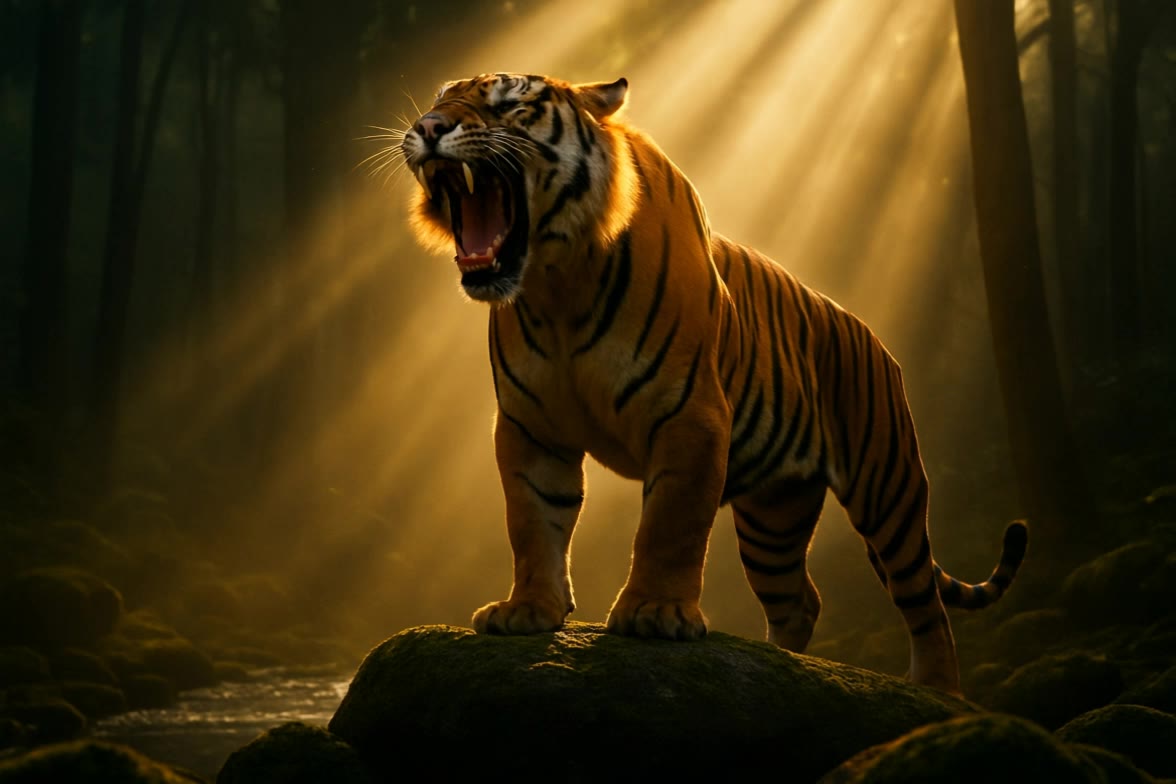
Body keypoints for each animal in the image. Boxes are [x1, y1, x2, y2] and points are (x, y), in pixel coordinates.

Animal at [399, 72, 1027, 694]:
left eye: (511, 104)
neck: (558, 286)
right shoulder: (530, 426)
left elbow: (670, 526)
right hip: (773, 516)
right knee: (800, 599)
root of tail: (877, 341)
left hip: (888, 488)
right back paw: (780, 666)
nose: (427, 128)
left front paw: (653, 613)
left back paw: (938, 690)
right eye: (439, 100)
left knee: (925, 604)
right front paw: (528, 610)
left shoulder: (688, 415)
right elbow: (532, 522)